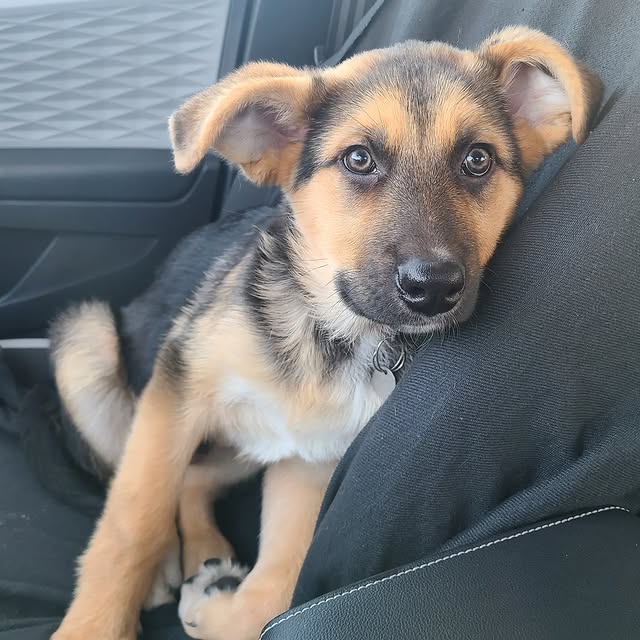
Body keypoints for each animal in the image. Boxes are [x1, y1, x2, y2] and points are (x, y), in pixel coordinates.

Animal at [50, 27, 600, 640]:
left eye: (476, 160)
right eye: (359, 159)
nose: (433, 288)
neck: (331, 335)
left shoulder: (308, 459)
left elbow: (272, 591)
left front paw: (214, 603)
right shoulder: (177, 388)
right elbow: (131, 524)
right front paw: (94, 624)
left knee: (194, 480)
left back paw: (208, 562)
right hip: (89, 338)